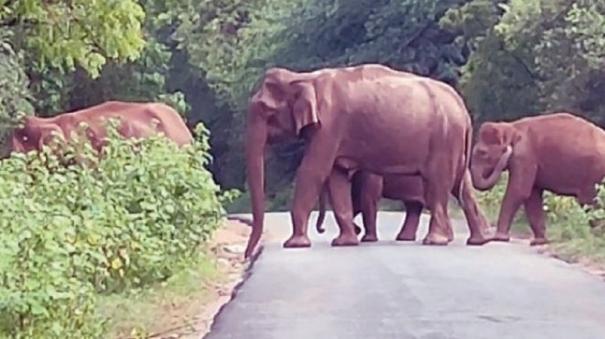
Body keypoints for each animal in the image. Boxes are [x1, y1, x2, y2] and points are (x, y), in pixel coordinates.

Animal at [243, 63, 488, 258]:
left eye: (266, 110)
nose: (248, 255)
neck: (305, 78)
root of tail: (463, 108)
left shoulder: (330, 126)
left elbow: (313, 171)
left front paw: (294, 244)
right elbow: (336, 177)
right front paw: (344, 242)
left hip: (444, 139)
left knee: (437, 185)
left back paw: (435, 241)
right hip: (453, 141)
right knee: (461, 186)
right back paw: (478, 240)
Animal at [470, 113, 605, 246]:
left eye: (482, 153)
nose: (507, 150)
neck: (511, 127)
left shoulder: (524, 156)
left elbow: (519, 191)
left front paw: (499, 238)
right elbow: (532, 196)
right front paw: (538, 241)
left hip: (594, 175)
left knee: (590, 201)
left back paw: (596, 234)